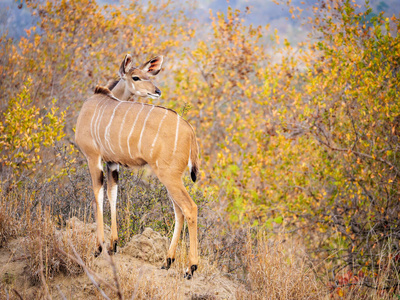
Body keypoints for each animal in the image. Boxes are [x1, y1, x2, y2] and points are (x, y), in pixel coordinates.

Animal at [75, 54, 200, 278]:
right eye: (136, 77)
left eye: (149, 75)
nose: (157, 91)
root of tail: (190, 130)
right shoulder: (112, 163)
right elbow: (112, 195)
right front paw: (113, 245)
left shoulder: (93, 157)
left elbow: (98, 195)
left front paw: (98, 248)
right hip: (171, 177)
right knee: (179, 210)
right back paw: (167, 261)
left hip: (169, 176)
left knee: (189, 207)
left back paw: (190, 268)